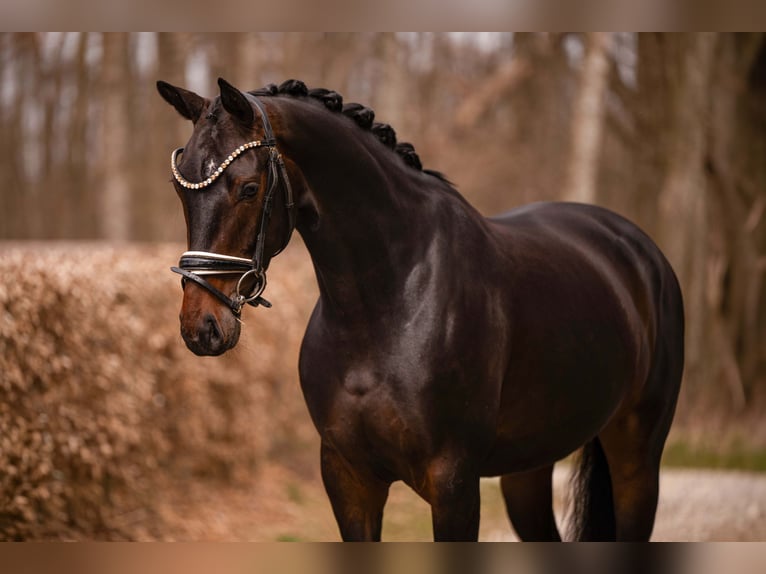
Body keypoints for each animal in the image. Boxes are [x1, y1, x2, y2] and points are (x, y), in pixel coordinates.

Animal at [157, 77, 684, 541]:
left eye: (248, 188)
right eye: (181, 190)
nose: (201, 326)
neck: (386, 303)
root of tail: (639, 249)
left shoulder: (453, 485)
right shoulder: (349, 480)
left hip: (637, 461)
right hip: (528, 469)